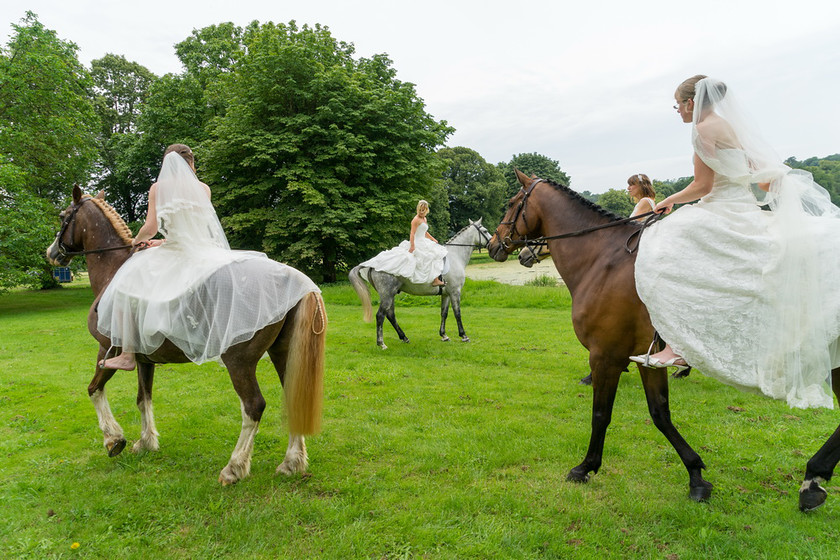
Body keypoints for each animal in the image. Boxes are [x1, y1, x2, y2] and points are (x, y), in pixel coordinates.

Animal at [44, 186, 328, 484]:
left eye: (63, 216)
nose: (51, 252)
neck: (114, 267)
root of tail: (294, 279)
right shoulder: (144, 359)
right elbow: (143, 398)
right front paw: (146, 442)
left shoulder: (107, 349)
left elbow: (94, 389)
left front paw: (114, 439)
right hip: (283, 353)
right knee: (293, 398)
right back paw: (291, 462)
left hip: (239, 361)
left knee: (253, 406)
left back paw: (234, 467)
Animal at [350, 218, 492, 346]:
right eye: (485, 230)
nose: (492, 244)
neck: (454, 256)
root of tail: (371, 265)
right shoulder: (455, 291)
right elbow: (457, 313)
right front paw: (463, 336)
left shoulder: (446, 294)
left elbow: (444, 313)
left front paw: (444, 335)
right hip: (387, 295)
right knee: (380, 315)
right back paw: (381, 343)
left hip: (390, 295)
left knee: (390, 315)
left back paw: (404, 337)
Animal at [486, 168, 840, 510]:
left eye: (510, 203)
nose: (494, 245)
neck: (603, 260)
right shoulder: (646, 359)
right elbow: (660, 414)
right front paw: (696, 476)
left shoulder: (605, 355)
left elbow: (601, 414)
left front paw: (585, 467)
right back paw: (813, 481)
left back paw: (812, 480)